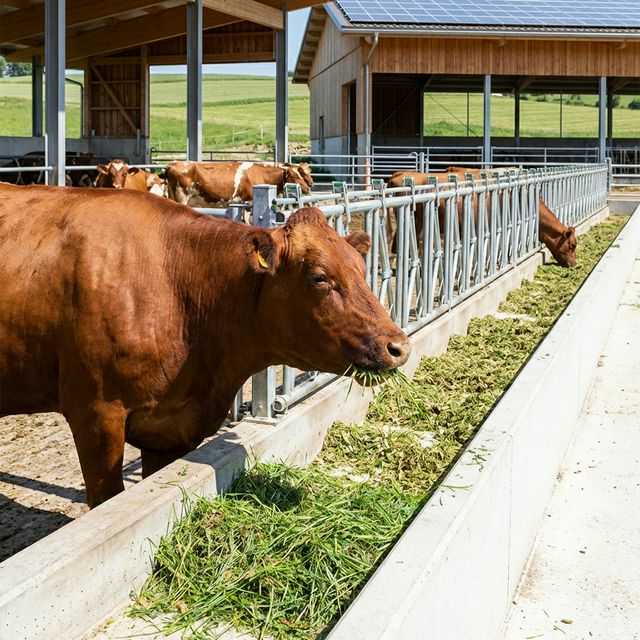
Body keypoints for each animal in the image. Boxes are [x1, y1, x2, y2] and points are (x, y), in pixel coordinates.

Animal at [164, 160, 314, 207]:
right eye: (295, 175)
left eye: (304, 172)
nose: (308, 187)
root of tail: (173, 163)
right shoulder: (248, 201)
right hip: (181, 198)